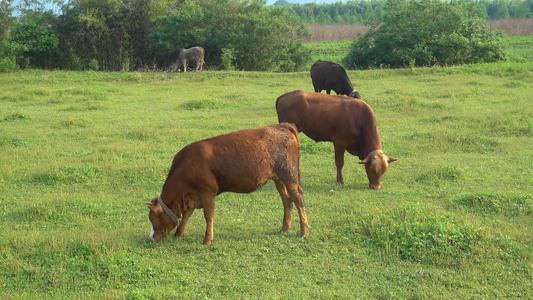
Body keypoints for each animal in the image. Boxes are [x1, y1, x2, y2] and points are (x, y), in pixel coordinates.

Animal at [148, 123, 310, 245]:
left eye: (152, 218)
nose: (152, 238)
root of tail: (281, 126)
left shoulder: (208, 192)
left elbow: (208, 216)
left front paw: (207, 240)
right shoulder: (193, 195)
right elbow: (187, 214)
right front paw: (179, 233)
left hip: (290, 175)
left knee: (298, 199)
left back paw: (304, 231)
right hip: (278, 178)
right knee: (287, 200)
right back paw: (284, 229)